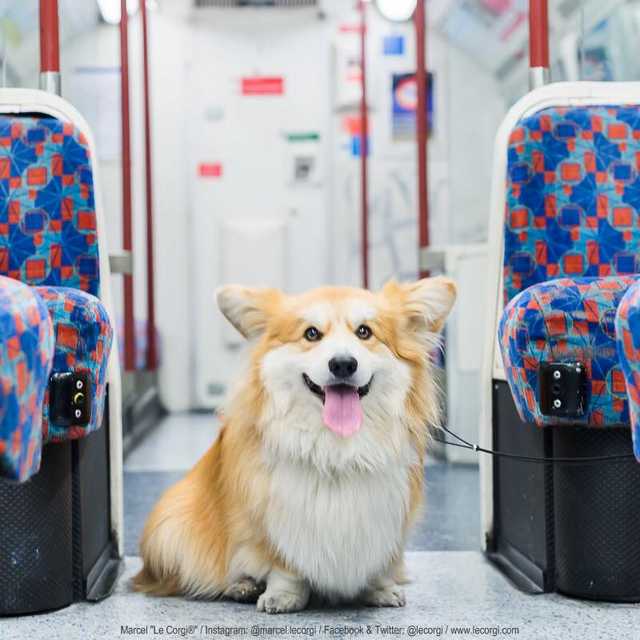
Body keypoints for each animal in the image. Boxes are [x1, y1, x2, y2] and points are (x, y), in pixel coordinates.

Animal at [134, 278, 456, 616]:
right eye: (311, 333)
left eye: (365, 332)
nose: (343, 364)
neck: (336, 448)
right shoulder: (271, 521)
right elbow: (284, 565)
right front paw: (282, 595)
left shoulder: (390, 516)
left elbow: (381, 559)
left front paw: (380, 588)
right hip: (170, 526)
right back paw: (243, 586)